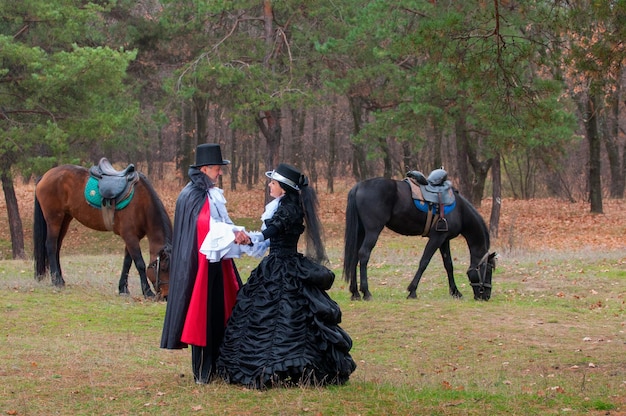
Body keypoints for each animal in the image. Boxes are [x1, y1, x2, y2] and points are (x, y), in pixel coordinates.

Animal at [33, 162, 172, 300]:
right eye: (163, 268)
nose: (166, 296)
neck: (142, 202)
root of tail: (45, 176)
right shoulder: (130, 236)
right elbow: (140, 263)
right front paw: (147, 292)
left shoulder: (132, 237)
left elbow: (127, 262)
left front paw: (123, 289)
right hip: (54, 219)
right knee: (51, 246)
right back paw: (56, 281)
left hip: (65, 219)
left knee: (57, 247)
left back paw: (60, 279)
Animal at [342, 177, 492, 300]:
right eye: (489, 270)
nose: (486, 296)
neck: (460, 211)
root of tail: (358, 186)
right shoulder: (437, 238)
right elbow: (424, 262)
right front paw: (412, 291)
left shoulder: (444, 240)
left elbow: (448, 265)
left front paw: (455, 292)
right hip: (373, 231)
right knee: (364, 254)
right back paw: (366, 292)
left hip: (360, 232)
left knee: (354, 257)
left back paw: (355, 292)